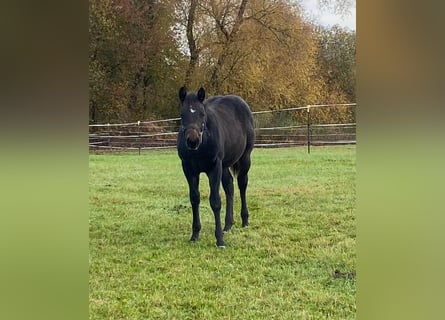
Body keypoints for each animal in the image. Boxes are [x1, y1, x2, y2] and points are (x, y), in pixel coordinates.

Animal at [176, 87, 255, 248]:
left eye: (202, 113)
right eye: (182, 114)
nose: (192, 141)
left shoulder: (214, 168)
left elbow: (215, 201)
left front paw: (219, 240)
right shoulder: (189, 169)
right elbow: (194, 198)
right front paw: (195, 235)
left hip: (244, 158)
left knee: (242, 184)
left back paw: (244, 220)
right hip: (224, 166)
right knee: (229, 186)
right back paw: (228, 225)